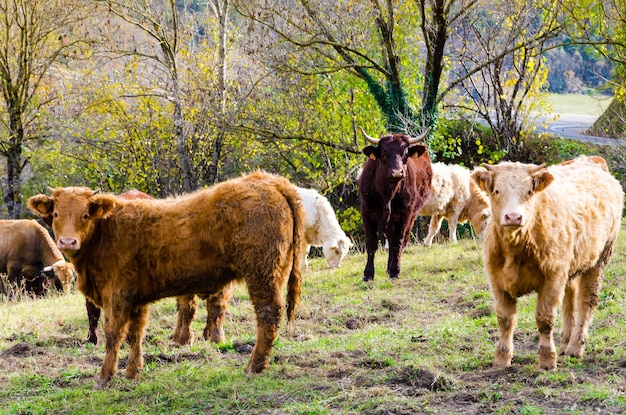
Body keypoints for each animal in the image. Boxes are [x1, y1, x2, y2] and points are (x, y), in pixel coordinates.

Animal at [28, 171, 304, 388]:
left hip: (261, 273)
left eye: (85, 214)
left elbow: (113, 334)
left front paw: (104, 377)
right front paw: (133, 373)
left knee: (268, 315)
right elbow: (135, 334)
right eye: (55, 214)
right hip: (276, 272)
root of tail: (268, 180)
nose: (67, 242)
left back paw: (253, 367)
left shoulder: (116, 295)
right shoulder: (135, 298)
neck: (105, 233)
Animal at [358, 127, 432, 282]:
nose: (397, 173)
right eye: (384, 154)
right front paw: (368, 274)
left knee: (399, 241)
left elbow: (398, 242)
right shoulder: (367, 213)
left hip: (412, 216)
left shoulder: (404, 215)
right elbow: (372, 243)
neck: (387, 194)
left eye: (405, 154)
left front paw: (394, 271)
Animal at [470, 156, 620, 370]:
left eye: (529, 191)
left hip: (599, 259)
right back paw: (565, 342)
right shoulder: (497, 281)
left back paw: (575, 347)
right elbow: (505, 319)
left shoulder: (552, 278)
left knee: (586, 301)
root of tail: (590, 160)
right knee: (570, 298)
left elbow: (545, 319)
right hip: (571, 266)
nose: (513, 217)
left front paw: (547, 359)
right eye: (497, 190)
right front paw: (501, 358)